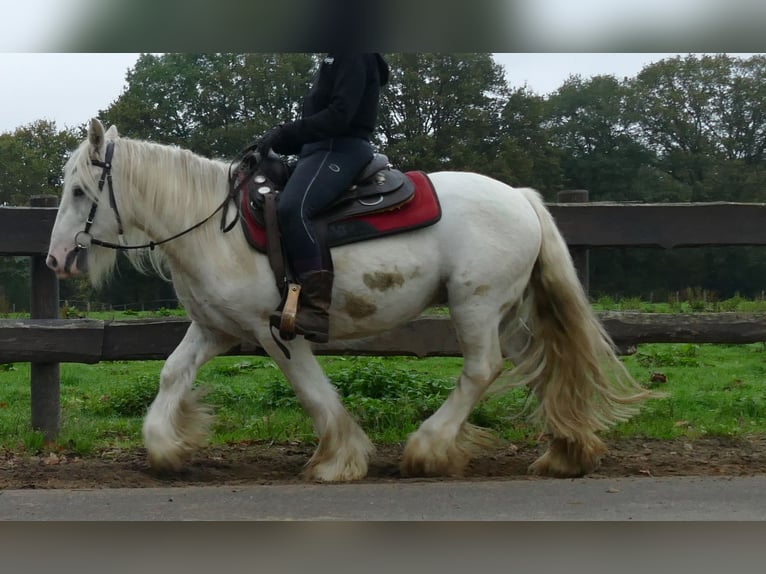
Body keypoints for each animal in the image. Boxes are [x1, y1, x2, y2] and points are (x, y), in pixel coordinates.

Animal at [46, 118, 656, 481]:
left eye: (79, 190)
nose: (55, 260)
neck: (215, 227)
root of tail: (521, 198)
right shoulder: (215, 328)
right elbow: (172, 374)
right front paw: (166, 448)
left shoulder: (275, 330)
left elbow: (313, 393)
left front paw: (339, 459)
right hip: (509, 311)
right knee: (545, 367)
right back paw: (565, 451)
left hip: (476, 305)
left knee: (482, 370)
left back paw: (429, 448)